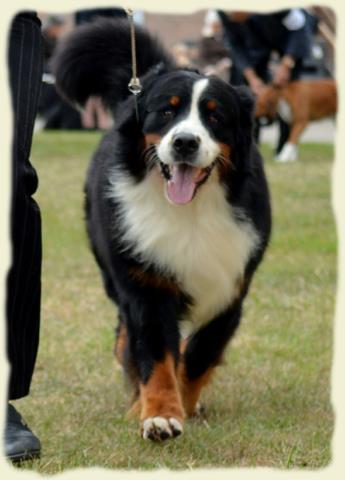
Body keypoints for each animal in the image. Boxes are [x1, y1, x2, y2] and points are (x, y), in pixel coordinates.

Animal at [51, 19, 272, 442]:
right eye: (166, 112)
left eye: (215, 117)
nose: (185, 142)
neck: (190, 213)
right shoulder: (146, 284)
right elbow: (155, 354)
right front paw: (159, 414)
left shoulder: (231, 285)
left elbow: (198, 354)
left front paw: (183, 403)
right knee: (125, 332)